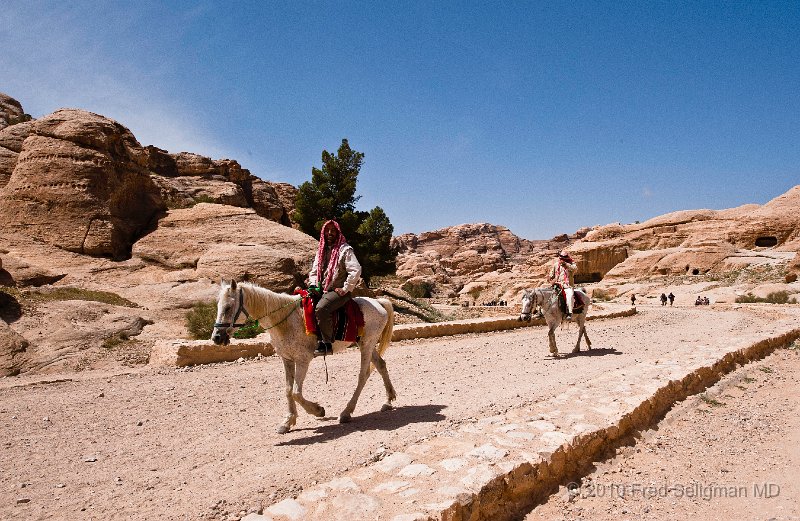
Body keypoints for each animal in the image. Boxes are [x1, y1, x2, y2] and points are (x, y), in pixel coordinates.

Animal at [211, 278, 396, 432]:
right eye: (218, 307)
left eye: (228, 307)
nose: (216, 337)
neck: (285, 321)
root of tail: (379, 302)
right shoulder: (287, 359)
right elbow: (288, 390)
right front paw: (288, 421)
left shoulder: (302, 360)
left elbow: (296, 393)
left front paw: (318, 410)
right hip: (366, 344)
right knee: (381, 365)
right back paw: (388, 400)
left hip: (367, 345)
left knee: (363, 375)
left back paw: (346, 412)